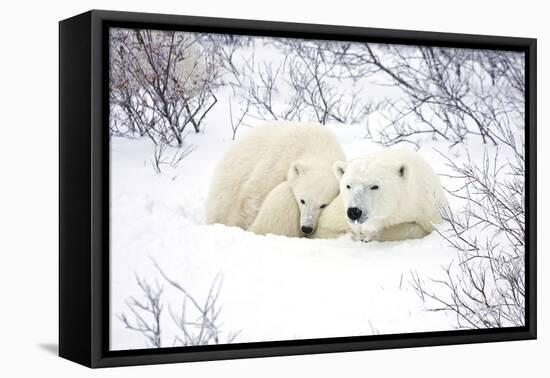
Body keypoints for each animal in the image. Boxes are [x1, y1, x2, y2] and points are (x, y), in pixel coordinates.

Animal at [206, 122, 344, 235]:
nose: (306, 228)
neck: (318, 145)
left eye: (323, 205)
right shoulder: (280, 159)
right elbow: (254, 194)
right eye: (302, 200)